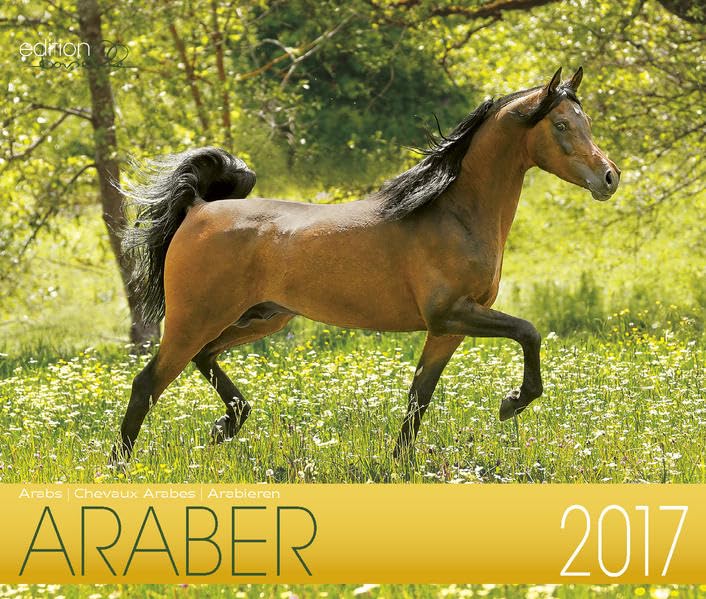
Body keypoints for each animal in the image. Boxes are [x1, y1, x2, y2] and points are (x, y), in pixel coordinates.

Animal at [113, 67, 620, 464]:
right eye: (561, 125)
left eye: (586, 123)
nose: (610, 177)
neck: (453, 213)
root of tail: (198, 208)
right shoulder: (453, 314)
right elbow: (529, 332)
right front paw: (512, 403)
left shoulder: (447, 330)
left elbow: (419, 398)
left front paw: (400, 464)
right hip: (194, 320)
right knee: (146, 384)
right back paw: (121, 466)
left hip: (263, 318)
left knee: (205, 358)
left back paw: (226, 424)